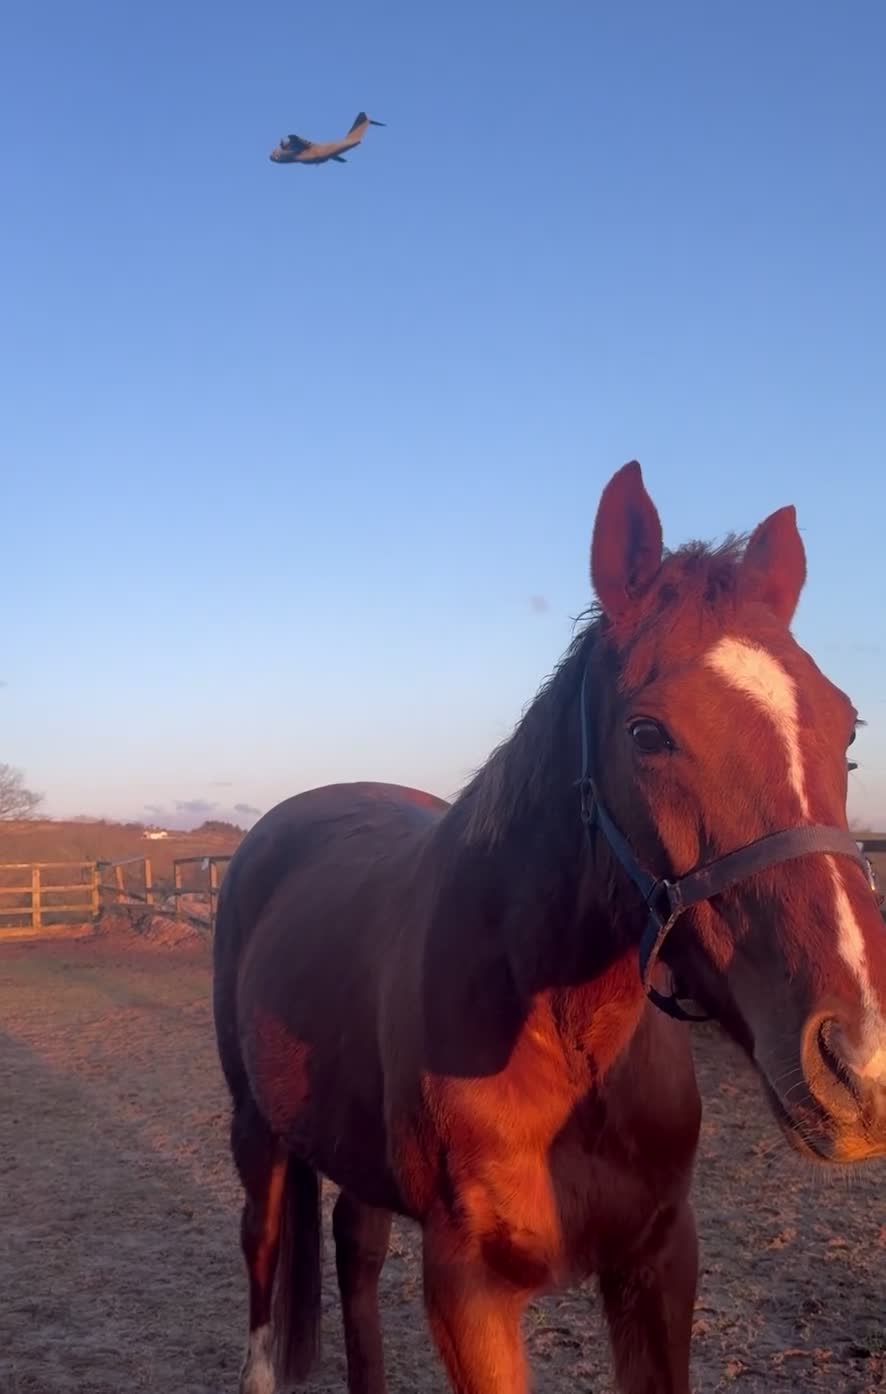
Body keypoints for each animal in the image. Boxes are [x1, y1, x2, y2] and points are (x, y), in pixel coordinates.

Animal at [212, 461, 886, 1394]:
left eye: (846, 729)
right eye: (647, 733)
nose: (861, 1064)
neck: (571, 1045)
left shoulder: (658, 1261)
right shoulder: (470, 1292)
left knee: (356, 1247)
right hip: (258, 1133)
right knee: (263, 1252)